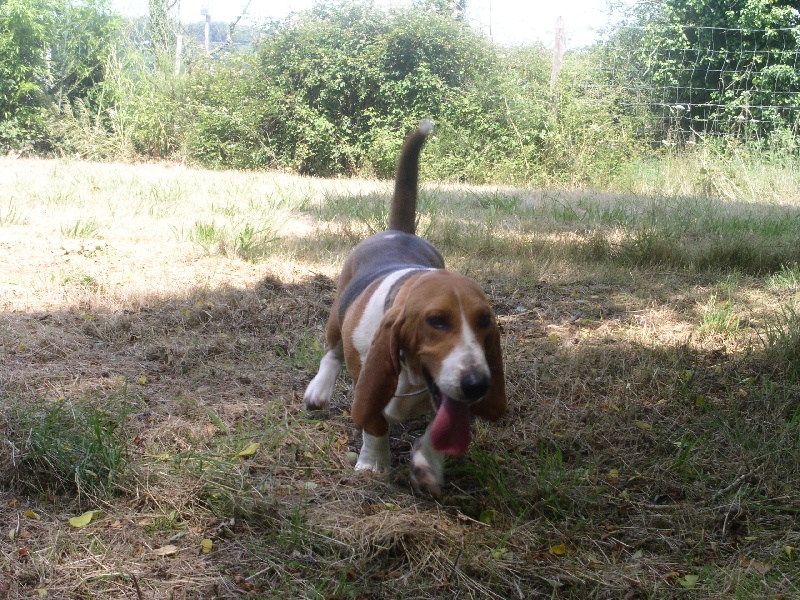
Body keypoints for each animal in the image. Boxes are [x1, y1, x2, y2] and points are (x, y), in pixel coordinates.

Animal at [302, 119, 506, 494]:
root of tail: (399, 232)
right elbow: (375, 423)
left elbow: (434, 432)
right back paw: (318, 392)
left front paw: (427, 466)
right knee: (331, 353)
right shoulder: (369, 382)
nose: (477, 385)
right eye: (436, 320)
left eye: (485, 320)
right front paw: (373, 462)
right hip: (337, 318)